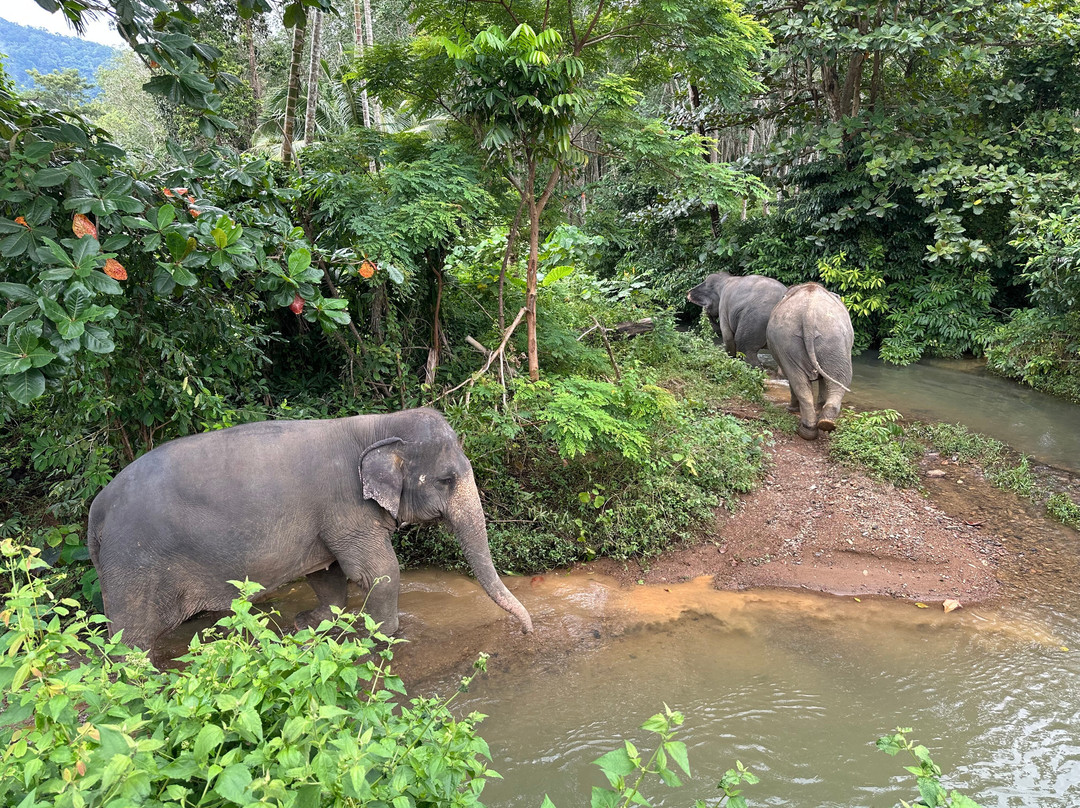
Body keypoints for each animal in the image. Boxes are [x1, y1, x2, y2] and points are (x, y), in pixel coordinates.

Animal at [87, 407, 533, 653]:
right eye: (446, 479)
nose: (527, 631)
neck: (378, 425)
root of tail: (96, 508)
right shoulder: (347, 506)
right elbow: (378, 572)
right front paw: (384, 638)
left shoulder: (327, 518)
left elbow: (327, 572)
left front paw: (311, 622)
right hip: (134, 564)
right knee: (130, 640)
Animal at [766, 282, 854, 441]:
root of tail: (809, 314)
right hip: (831, 341)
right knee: (839, 379)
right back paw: (823, 424)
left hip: (796, 342)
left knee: (800, 382)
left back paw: (811, 428)